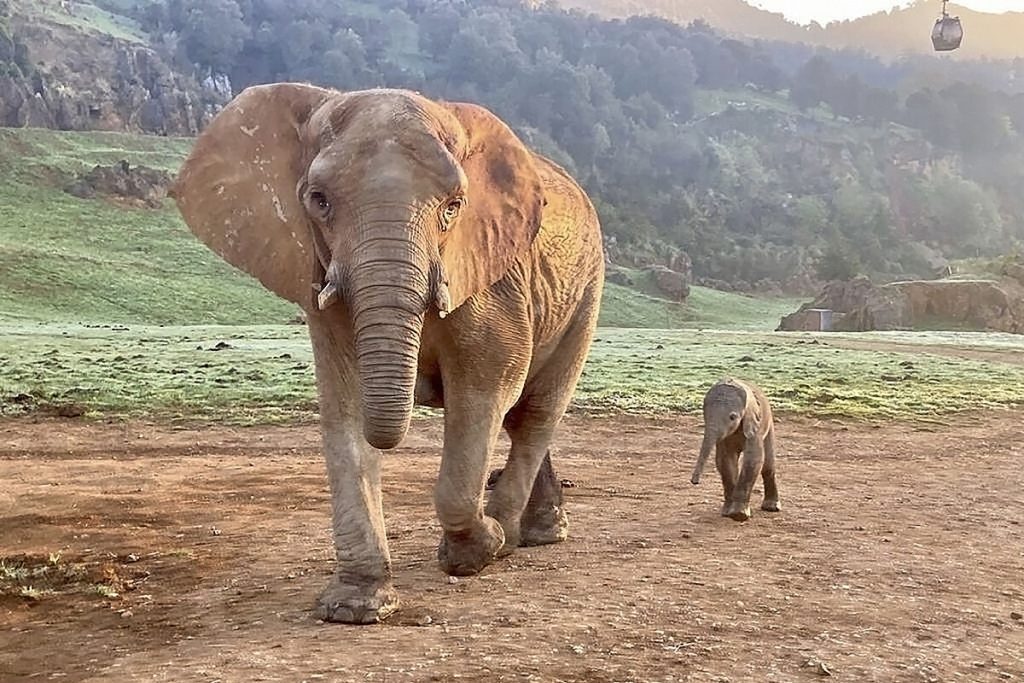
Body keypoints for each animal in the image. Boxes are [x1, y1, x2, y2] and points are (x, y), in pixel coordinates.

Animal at [171, 84, 605, 623]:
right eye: (318, 201)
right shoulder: (318, 277)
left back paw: (514, 538)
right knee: (520, 415)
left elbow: (484, 389)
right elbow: (344, 406)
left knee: (534, 412)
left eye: (454, 206)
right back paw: (529, 533)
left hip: (586, 291)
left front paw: (476, 551)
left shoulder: (493, 278)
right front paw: (354, 608)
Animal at [690, 378, 780, 521]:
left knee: (768, 465)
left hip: (769, 424)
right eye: (705, 416)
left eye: (732, 417)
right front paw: (728, 513)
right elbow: (725, 461)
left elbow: (753, 459)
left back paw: (771, 507)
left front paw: (739, 515)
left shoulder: (755, 426)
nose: (694, 482)